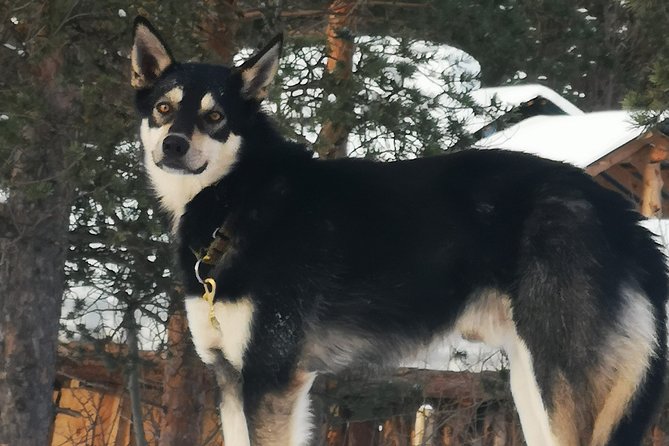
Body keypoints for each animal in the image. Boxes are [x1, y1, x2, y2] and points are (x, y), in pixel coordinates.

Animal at [132, 17, 668, 446]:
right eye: (164, 108)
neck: (240, 199)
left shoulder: (269, 378)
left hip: (557, 378)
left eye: (215, 116)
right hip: (529, 381)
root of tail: (617, 212)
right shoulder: (230, 379)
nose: (174, 145)